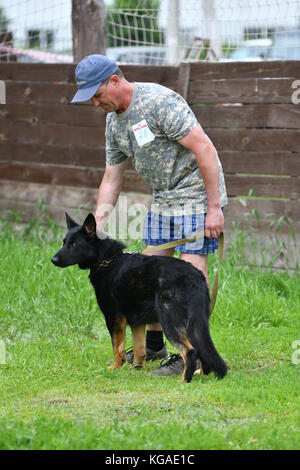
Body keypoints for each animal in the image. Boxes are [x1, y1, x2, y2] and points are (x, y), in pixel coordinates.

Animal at [51, 213, 226, 382]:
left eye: (74, 244)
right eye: (64, 242)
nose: (53, 260)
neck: (107, 260)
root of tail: (196, 276)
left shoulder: (114, 319)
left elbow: (117, 348)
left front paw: (115, 368)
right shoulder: (137, 322)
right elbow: (139, 349)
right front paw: (136, 369)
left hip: (171, 322)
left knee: (189, 351)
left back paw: (184, 380)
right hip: (194, 323)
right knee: (200, 349)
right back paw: (202, 375)